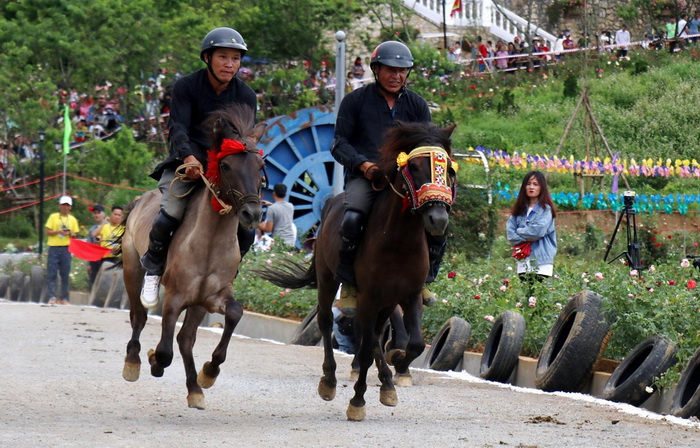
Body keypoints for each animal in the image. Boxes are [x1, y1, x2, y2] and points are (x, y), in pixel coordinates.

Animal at [119, 105, 266, 410]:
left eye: (260, 167)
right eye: (226, 166)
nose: (252, 214)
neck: (210, 241)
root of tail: (140, 199)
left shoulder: (212, 296)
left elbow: (234, 313)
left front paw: (209, 372)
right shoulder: (175, 297)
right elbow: (164, 350)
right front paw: (154, 360)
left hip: (198, 302)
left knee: (186, 338)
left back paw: (195, 388)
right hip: (132, 269)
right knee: (139, 316)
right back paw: (134, 361)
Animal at [260, 121, 456, 422]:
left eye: (448, 170)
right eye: (413, 166)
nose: (437, 219)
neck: (399, 242)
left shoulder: (407, 295)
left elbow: (415, 344)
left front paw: (396, 364)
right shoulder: (369, 297)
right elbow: (364, 349)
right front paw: (357, 401)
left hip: (384, 301)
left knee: (373, 336)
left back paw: (387, 381)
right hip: (329, 280)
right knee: (327, 321)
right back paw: (330, 380)